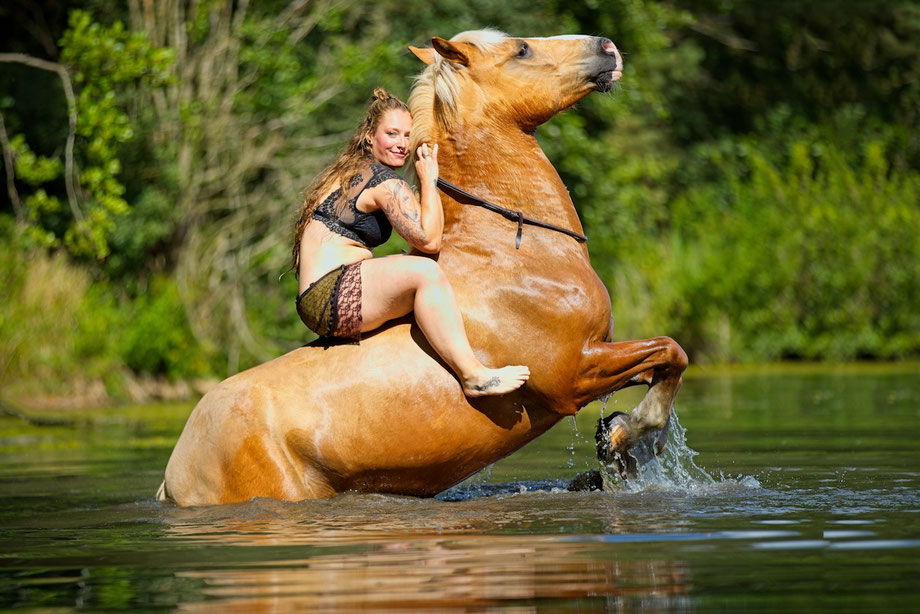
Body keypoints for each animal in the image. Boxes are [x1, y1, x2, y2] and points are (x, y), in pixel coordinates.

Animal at [157, 30, 688, 506]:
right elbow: (671, 351)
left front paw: (620, 439)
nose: (608, 48)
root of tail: (176, 471)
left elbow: (668, 359)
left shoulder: (600, 353)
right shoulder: (575, 374)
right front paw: (624, 439)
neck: (516, 251)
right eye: (521, 49)